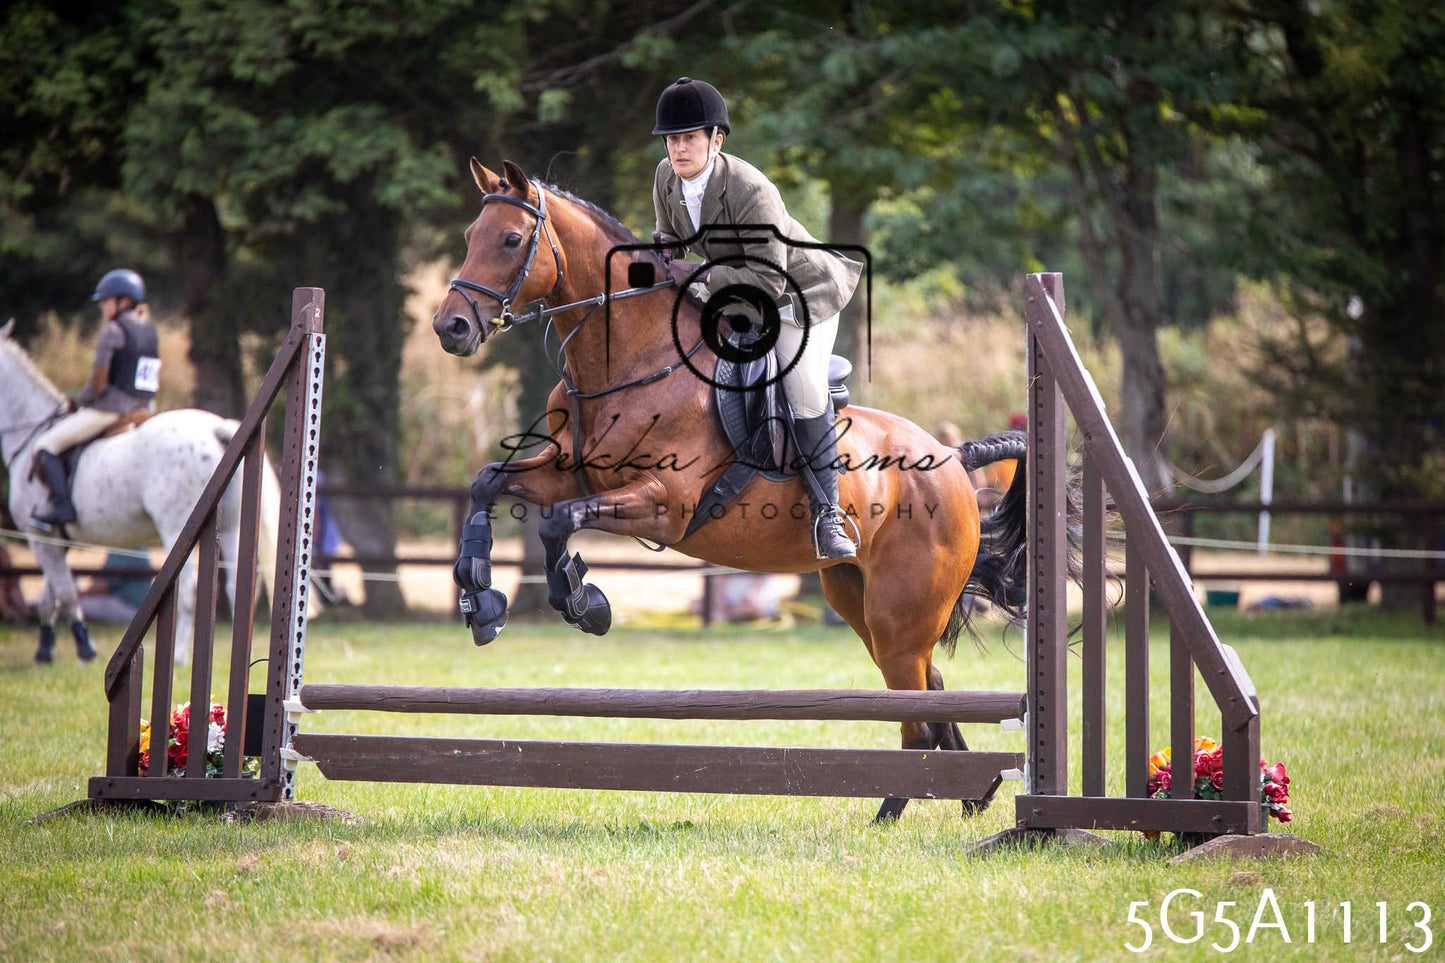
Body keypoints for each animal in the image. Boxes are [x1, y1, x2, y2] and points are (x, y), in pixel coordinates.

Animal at [0, 320, 281, 666]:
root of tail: (216, 429)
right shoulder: (54, 541)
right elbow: (50, 598)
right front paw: (45, 651)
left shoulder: (40, 537)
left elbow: (65, 594)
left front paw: (84, 649)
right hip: (230, 526)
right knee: (237, 587)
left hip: (177, 528)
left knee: (189, 588)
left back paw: (179, 656)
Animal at [432, 159, 1081, 822]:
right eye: (469, 237)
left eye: (511, 240)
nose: (450, 328)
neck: (631, 361)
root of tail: (953, 461)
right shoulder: (569, 469)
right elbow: (490, 484)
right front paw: (480, 597)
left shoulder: (664, 502)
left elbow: (558, 522)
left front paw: (583, 602)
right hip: (859, 600)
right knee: (930, 692)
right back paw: (967, 795)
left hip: (901, 613)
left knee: (916, 710)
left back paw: (895, 809)